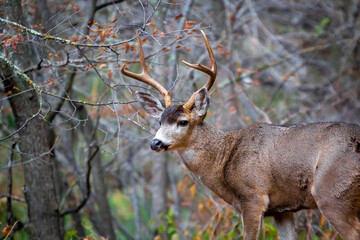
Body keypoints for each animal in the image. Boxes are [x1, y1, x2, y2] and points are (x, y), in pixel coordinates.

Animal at [122, 31, 360, 239]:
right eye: (159, 121)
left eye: (183, 121)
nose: (155, 142)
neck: (224, 159)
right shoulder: (282, 209)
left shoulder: (253, 197)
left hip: (333, 193)